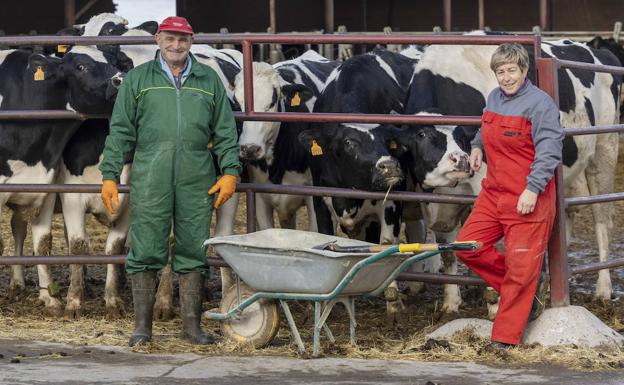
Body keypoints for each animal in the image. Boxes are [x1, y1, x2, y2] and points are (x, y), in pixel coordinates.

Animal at [0, 46, 122, 316]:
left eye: (114, 62)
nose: (120, 79)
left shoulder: (43, 187)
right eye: (81, 66)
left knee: (18, 226)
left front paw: (49, 298)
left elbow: (43, 243)